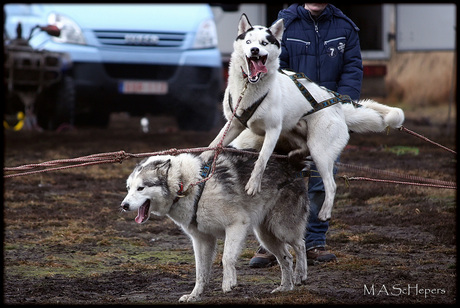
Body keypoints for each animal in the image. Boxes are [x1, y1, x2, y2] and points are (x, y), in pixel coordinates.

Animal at [121, 150, 310, 302]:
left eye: (140, 188)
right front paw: (194, 295)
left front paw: (228, 282)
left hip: (281, 229)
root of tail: (292, 164)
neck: (188, 184)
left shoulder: (236, 225)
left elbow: (227, 258)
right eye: (128, 188)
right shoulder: (202, 240)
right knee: (286, 258)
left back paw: (300, 274)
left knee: (300, 245)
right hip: (266, 236)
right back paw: (285, 287)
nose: (124, 205)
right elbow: (201, 273)